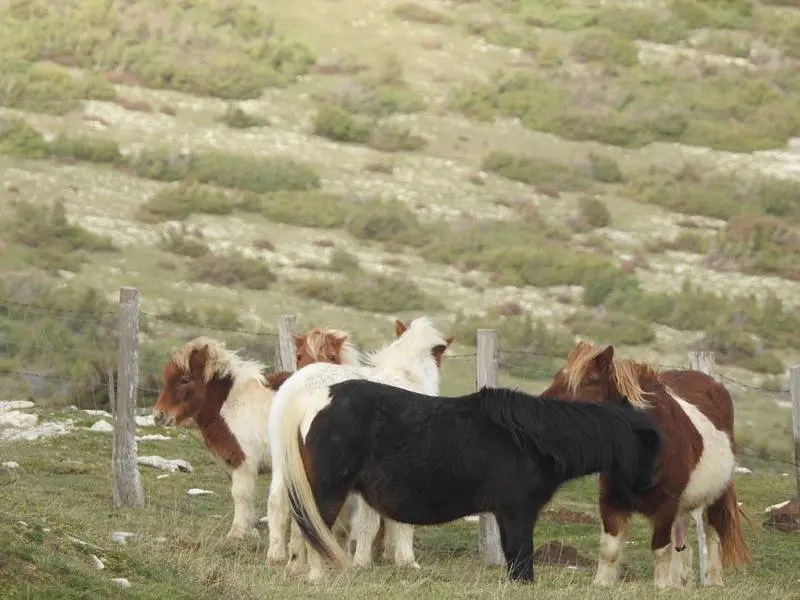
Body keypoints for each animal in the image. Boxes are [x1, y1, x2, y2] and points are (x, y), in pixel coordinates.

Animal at [152, 327, 362, 543]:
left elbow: (241, 495)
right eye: (166, 377)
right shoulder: (231, 463)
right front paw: (249, 531)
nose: (158, 415)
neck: (232, 404)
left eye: (185, 379)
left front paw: (237, 533)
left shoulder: (244, 463)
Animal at [266, 316, 454, 579]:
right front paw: (395, 560)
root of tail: (301, 391)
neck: (405, 376)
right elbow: (383, 523)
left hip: (286, 466)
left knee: (282, 504)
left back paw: (286, 560)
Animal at [279, 379, 663, 584]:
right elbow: (521, 553)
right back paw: (316, 576)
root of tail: (318, 398)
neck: (533, 440)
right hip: (328, 491)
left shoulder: (506, 514)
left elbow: (513, 554)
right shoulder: (518, 511)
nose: (650, 488)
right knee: (313, 532)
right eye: (650, 446)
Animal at [540, 341, 754, 588]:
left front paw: (661, 587)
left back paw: (713, 580)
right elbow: (610, 549)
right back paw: (678, 580)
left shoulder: (666, 505)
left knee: (713, 534)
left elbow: (660, 549)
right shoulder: (611, 501)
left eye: (585, 383)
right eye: (557, 377)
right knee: (681, 538)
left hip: (716, 495)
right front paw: (602, 584)